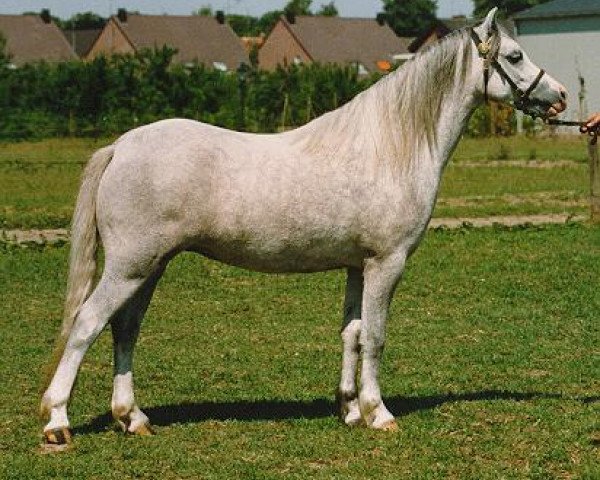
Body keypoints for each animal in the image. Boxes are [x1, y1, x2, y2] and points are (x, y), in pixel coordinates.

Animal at [39, 9, 564, 446]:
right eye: (515, 56)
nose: (558, 96)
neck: (391, 145)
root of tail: (121, 147)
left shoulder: (357, 266)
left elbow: (352, 333)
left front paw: (350, 409)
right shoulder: (387, 263)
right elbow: (376, 336)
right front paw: (379, 413)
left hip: (150, 267)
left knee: (124, 329)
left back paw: (132, 418)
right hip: (130, 266)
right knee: (86, 324)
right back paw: (57, 423)